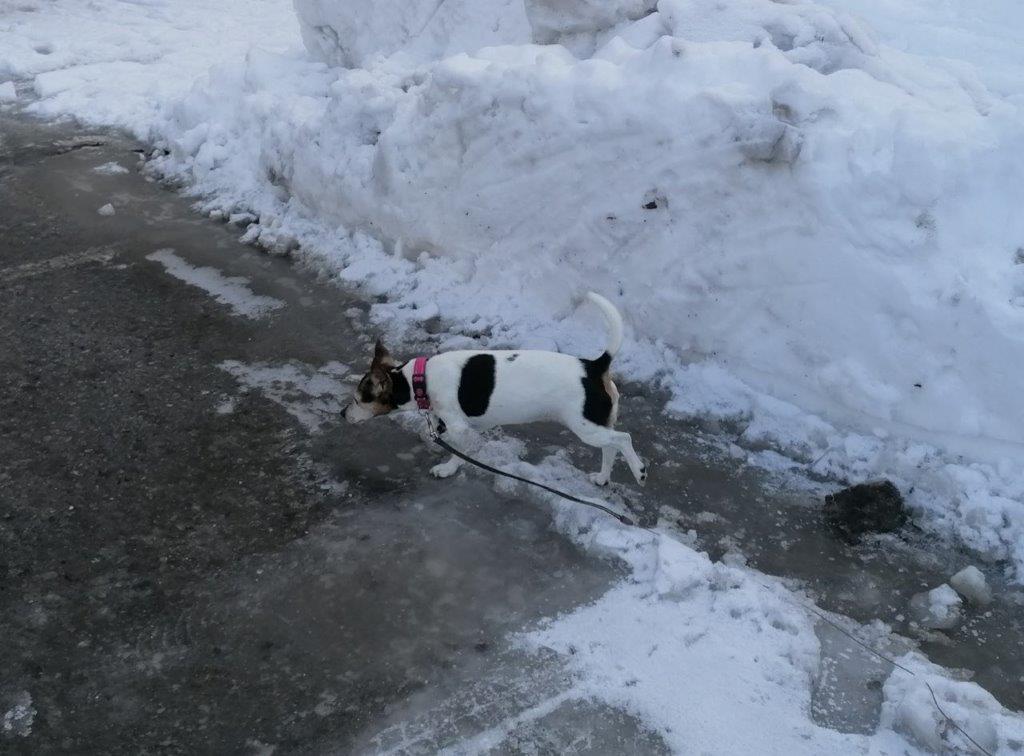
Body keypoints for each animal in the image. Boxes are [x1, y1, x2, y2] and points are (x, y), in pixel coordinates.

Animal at [343, 292, 647, 486]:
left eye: (359, 400)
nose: (342, 414)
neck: (419, 378)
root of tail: (594, 366)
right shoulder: (469, 426)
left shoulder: (460, 428)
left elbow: (457, 452)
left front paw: (447, 469)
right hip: (598, 425)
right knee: (610, 448)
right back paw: (603, 478)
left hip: (586, 427)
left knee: (623, 439)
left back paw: (639, 471)